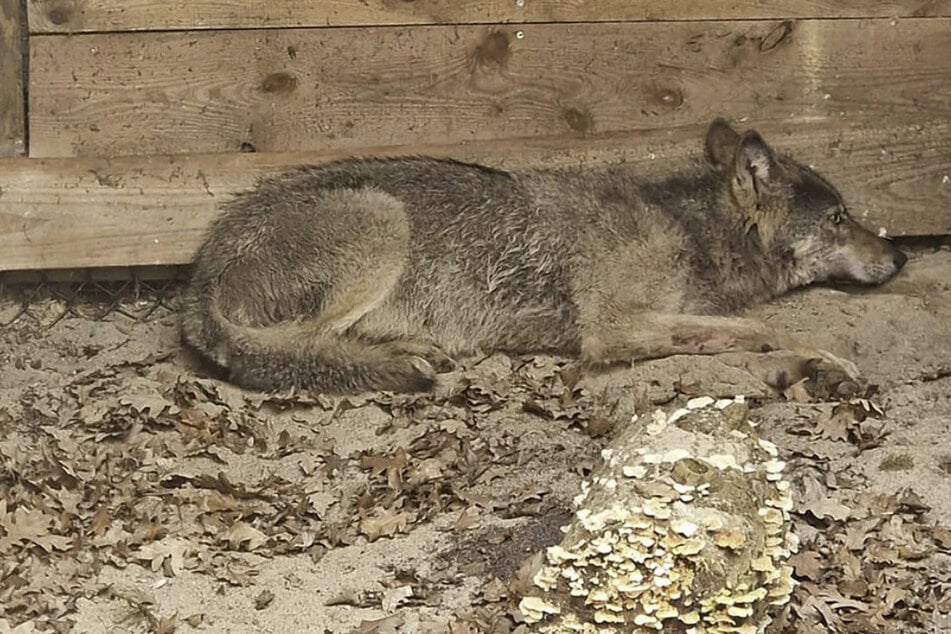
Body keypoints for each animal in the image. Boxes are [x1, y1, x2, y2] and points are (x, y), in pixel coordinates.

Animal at [180, 119, 907, 394]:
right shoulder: (611, 329)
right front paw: (827, 361)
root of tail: (197, 276)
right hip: (382, 221)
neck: (685, 228)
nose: (900, 256)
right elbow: (764, 327)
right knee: (289, 350)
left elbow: (747, 326)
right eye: (840, 219)